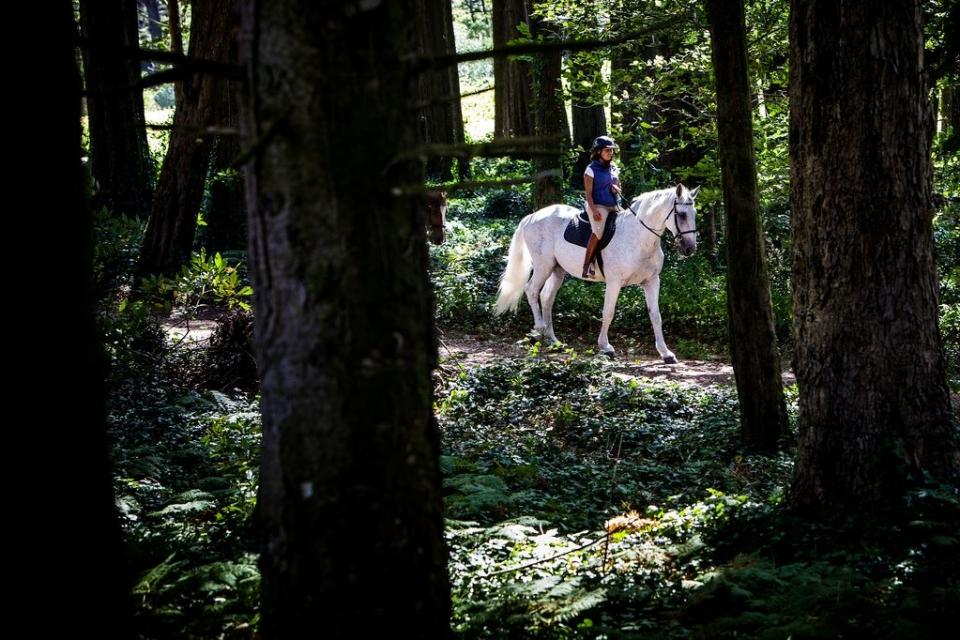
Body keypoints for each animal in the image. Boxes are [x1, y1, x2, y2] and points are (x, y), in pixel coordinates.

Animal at [494, 184, 699, 361]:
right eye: (681, 214)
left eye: (694, 214)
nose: (689, 249)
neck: (639, 238)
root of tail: (532, 217)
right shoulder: (614, 282)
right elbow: (608, 312)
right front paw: (605, 347)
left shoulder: (652, 281)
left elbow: (655, 316)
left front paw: (666, 353)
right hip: (543, 266)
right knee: (531, 290)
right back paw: (539, 329)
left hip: (557, 270)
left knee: (546, 297)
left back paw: (553, 340)